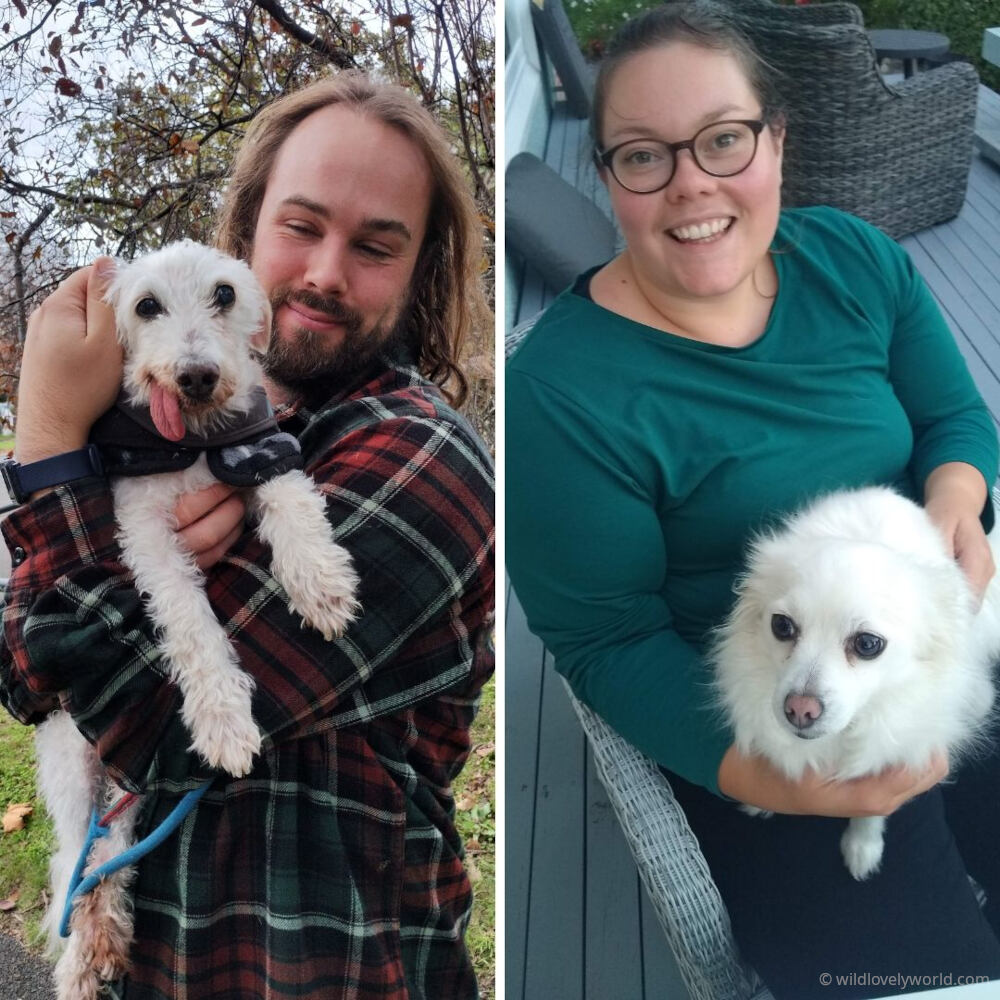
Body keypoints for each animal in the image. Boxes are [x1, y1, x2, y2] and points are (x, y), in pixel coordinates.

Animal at [36, 238, 364, 996]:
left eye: (224, 294)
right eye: (145, 305)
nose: (196, 376)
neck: (191, 442)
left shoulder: (256, 451)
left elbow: (291, 499)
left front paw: (320, 579)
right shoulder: (146, 533)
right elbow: (189, 618)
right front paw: (222, 719)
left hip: (124, 786)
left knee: (108, 852)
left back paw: (104, 938)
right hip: (73, 764)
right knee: (74, 867)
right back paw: (83, 959)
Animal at [712, 488, 1000, 880]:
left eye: (867, 644)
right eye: (781, 626)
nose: (800, 709)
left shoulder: (886, 761)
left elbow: (870, 810)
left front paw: (863, 846)